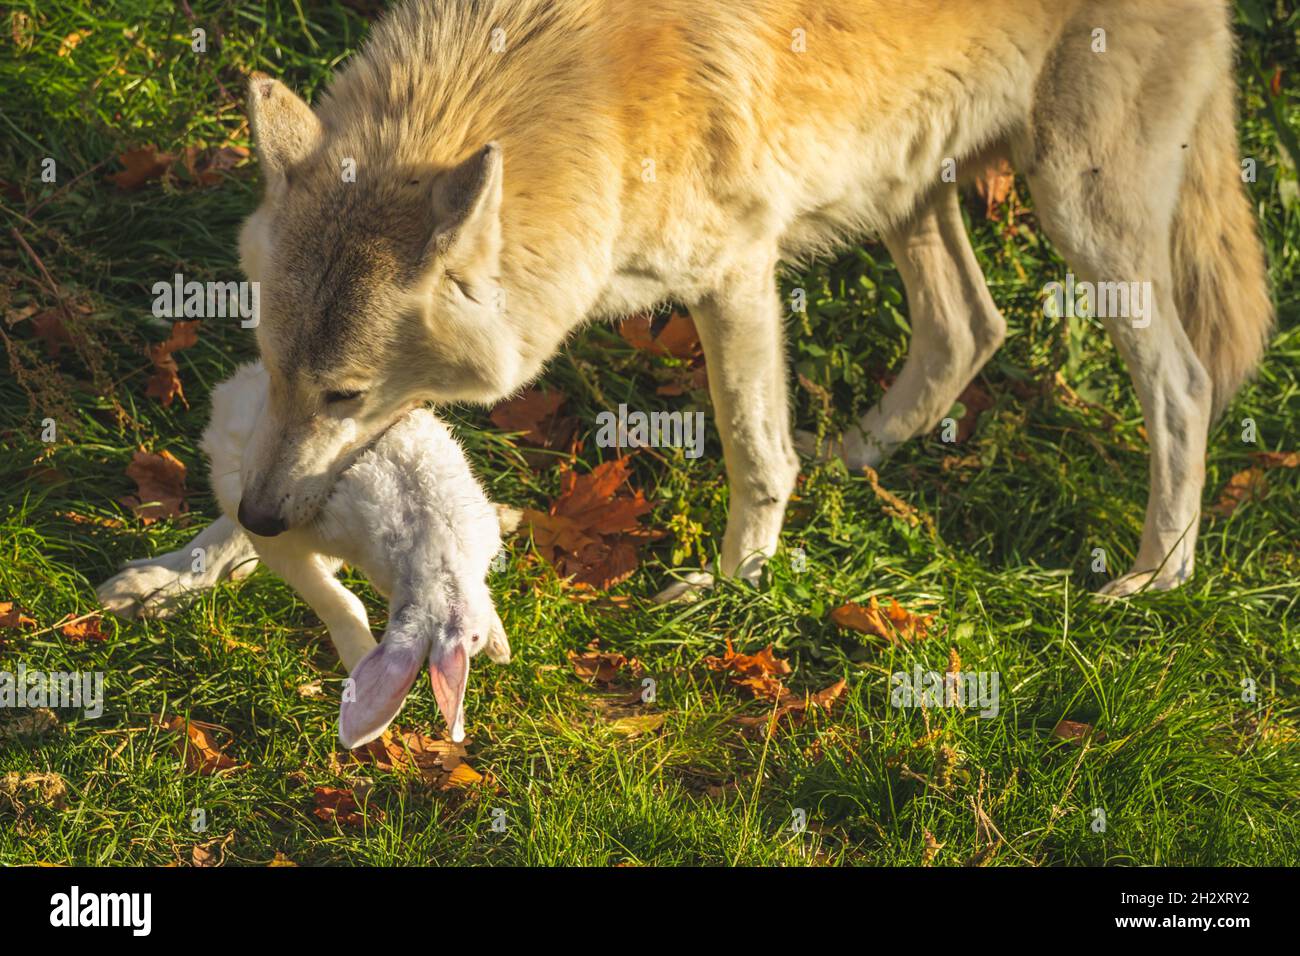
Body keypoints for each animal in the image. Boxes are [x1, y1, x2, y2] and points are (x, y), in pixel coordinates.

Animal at [152, 0, 1279, 598]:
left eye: (342, 394)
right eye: (277, 374)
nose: (261, 515)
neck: (582, 107)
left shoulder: (734, 273)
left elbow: (752, 449)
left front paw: (735, 592)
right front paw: (183, 568)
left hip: (1080, 212)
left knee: (1182, 385)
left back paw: (1156, 578)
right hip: (911, 188)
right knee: (969, 326)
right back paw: (855, 457)